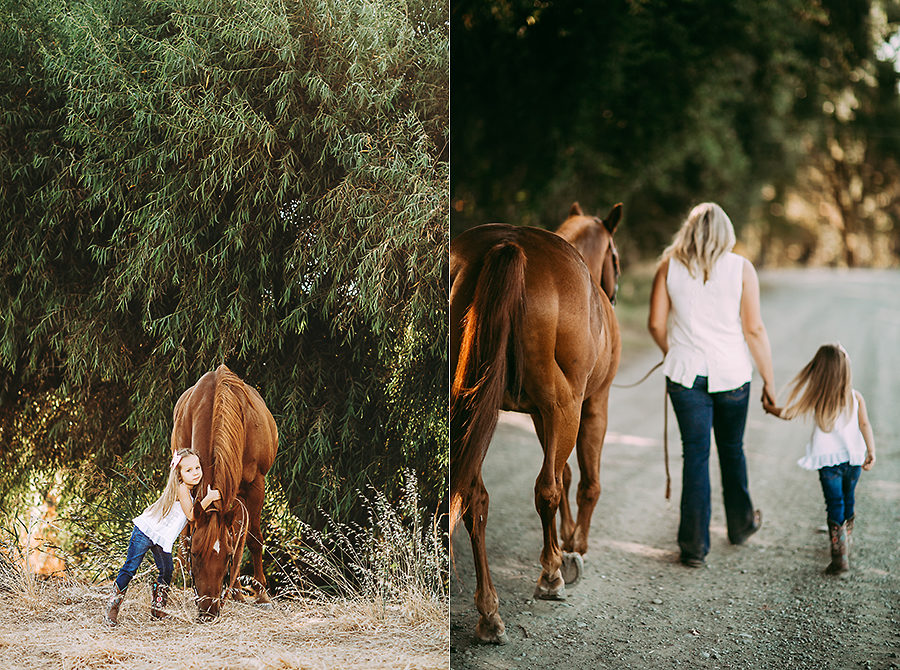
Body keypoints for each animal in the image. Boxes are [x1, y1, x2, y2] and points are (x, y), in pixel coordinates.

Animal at [171, 364, 278, 620]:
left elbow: (253, 540)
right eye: (195, 555)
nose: (208, 611)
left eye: (227, 556)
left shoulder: (256, 485)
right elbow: (187, 535)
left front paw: (262, 597)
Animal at [450, 202, 622, 644]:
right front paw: (573, 549)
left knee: (475, 499)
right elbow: (582, 481)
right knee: (546, 488)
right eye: (615, 258)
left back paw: (490, 613)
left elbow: (564, 474)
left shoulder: (544, 416)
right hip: (566, 406)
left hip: (471, 407)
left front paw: (564, 545)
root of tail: (509, 245)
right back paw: (549, 579)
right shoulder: (590, 405)